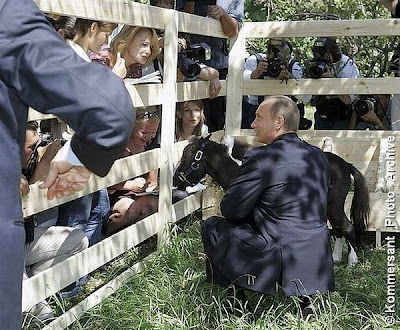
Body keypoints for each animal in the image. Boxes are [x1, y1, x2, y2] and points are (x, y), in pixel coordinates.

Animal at [173, 134, 370, 266]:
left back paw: (352, 262)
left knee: (347, 227)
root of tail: (347, 165)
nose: (175, 181)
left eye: (185, 157)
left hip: (334, 206)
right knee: (338, 229)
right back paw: (336, 258)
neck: (238, 167)